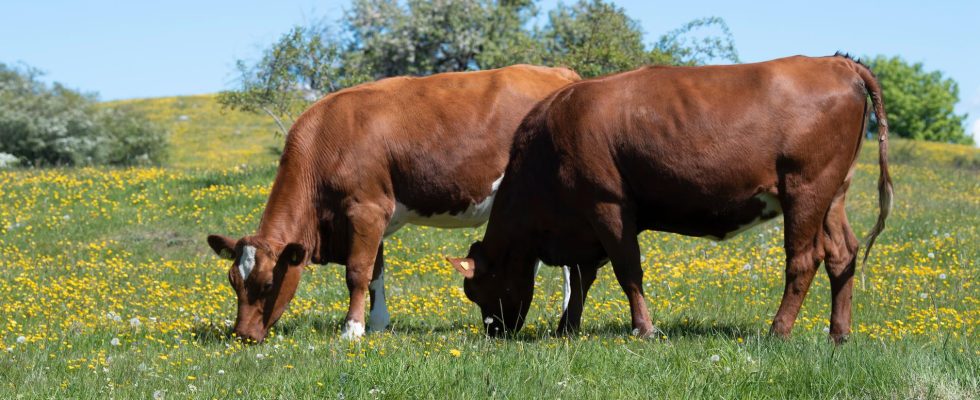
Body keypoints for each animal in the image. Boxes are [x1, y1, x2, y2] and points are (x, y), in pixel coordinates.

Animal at [203, 64, 580, 342]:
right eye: (233, 282)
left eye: (267, 284)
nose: (242, 335)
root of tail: (559, 73)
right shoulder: (372, 216)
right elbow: (375, 273)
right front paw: (378, 324)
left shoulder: (365, 209)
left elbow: (357, 272)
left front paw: (352, 330)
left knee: (566, 265)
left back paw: (563, 320)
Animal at [448, 54, 892, 344]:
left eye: (478, 288)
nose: (495, 332)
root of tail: (836, 62)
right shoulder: (585, 224)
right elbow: (583, 276)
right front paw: (567, 329)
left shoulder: (608, 206)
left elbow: (627, 270)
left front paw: (643, 329)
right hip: (833, 192)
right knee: (842, 254)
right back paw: (838, 334)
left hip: (805, 188)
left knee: (803, 259)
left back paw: (777, 332)